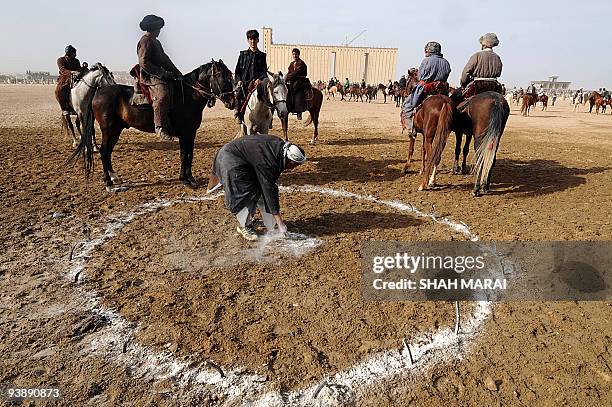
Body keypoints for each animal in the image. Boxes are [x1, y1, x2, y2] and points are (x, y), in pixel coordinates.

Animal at [70, 59, 235, 191]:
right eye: (224, 78)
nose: (233, 101)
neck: (187, 95)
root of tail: (98, 93)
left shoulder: (191, 133)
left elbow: (189, 154)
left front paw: (189, 178)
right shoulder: (185, 133)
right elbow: (184, 155)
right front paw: (185, 179)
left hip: (115, 130)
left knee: (107, 152)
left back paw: (113, 177)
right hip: (108, 130)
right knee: (104, 152)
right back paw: (109, 183)